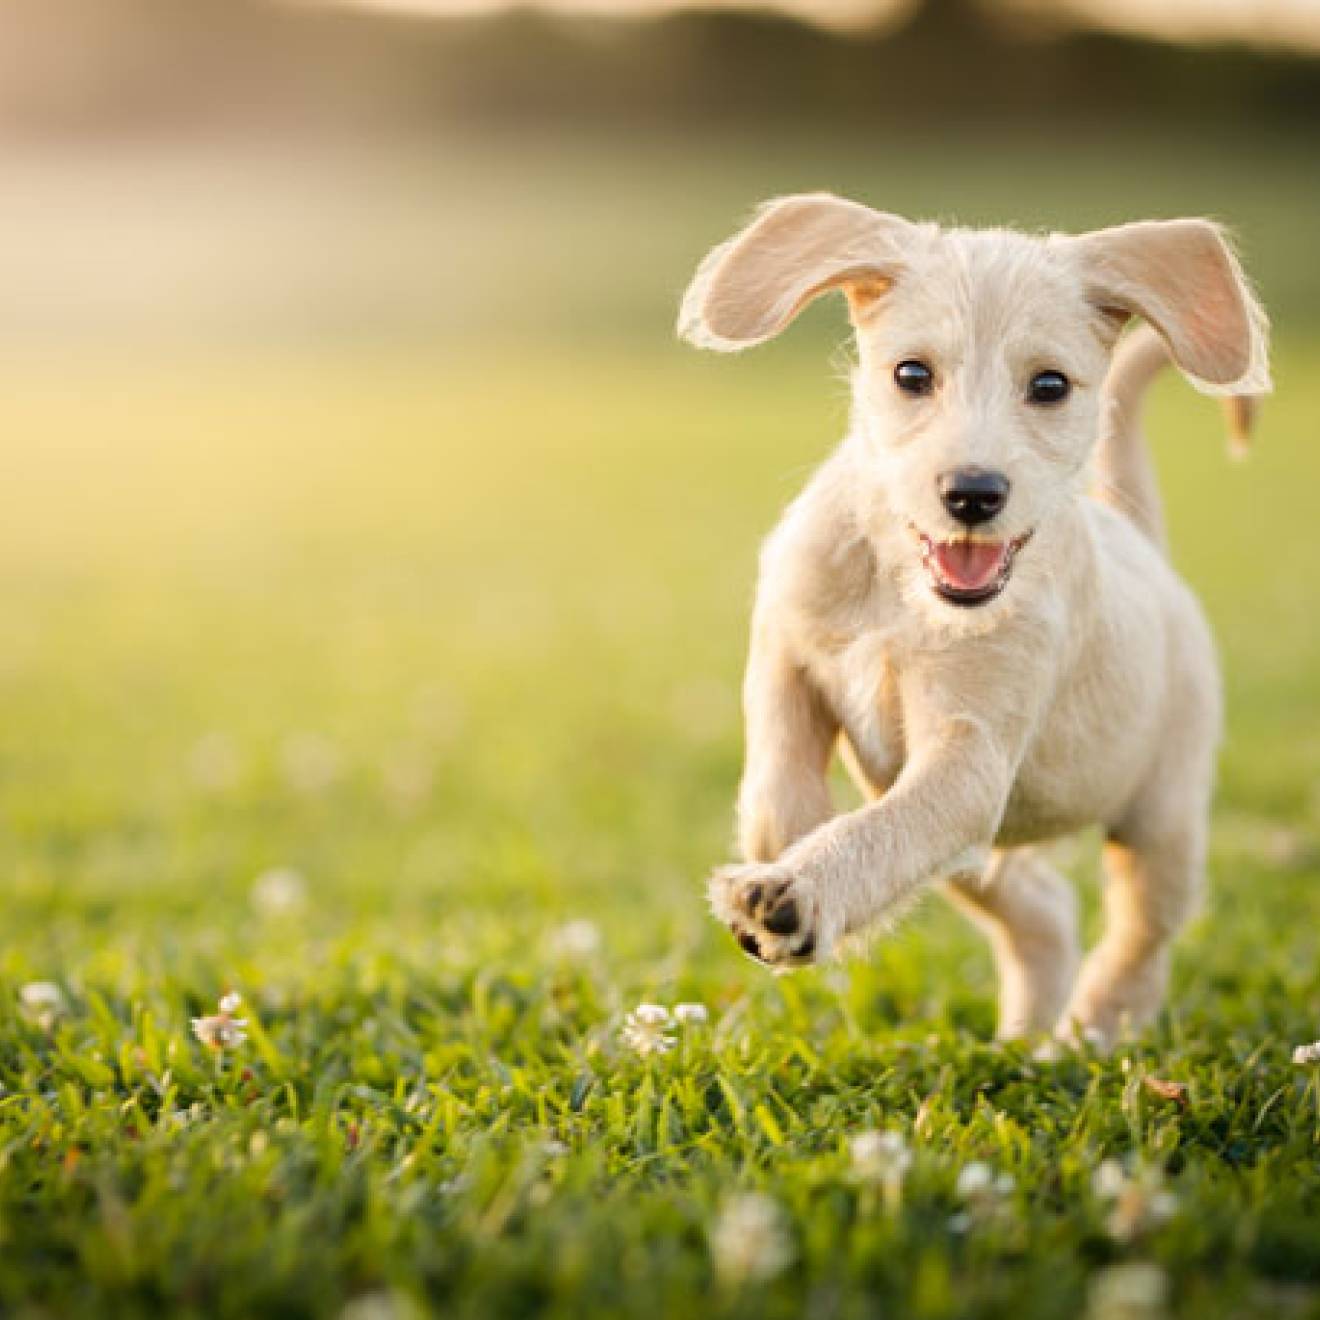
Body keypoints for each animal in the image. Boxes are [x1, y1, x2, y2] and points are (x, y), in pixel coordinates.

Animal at [681, 192, 1267, 1040]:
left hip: (1162, 819)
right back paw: (1027, 1038)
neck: (900, 591)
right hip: (980, 857)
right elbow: (774, 783)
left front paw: (799, 890)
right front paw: (788, 850)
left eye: (1050, 385)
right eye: (911, 374)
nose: (973, 493)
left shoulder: (968, 759)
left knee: (1139, 935)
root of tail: (1143, 543)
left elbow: (879, 831)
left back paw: (1093, 1030)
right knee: (1044, 909)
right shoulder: (786, 651)